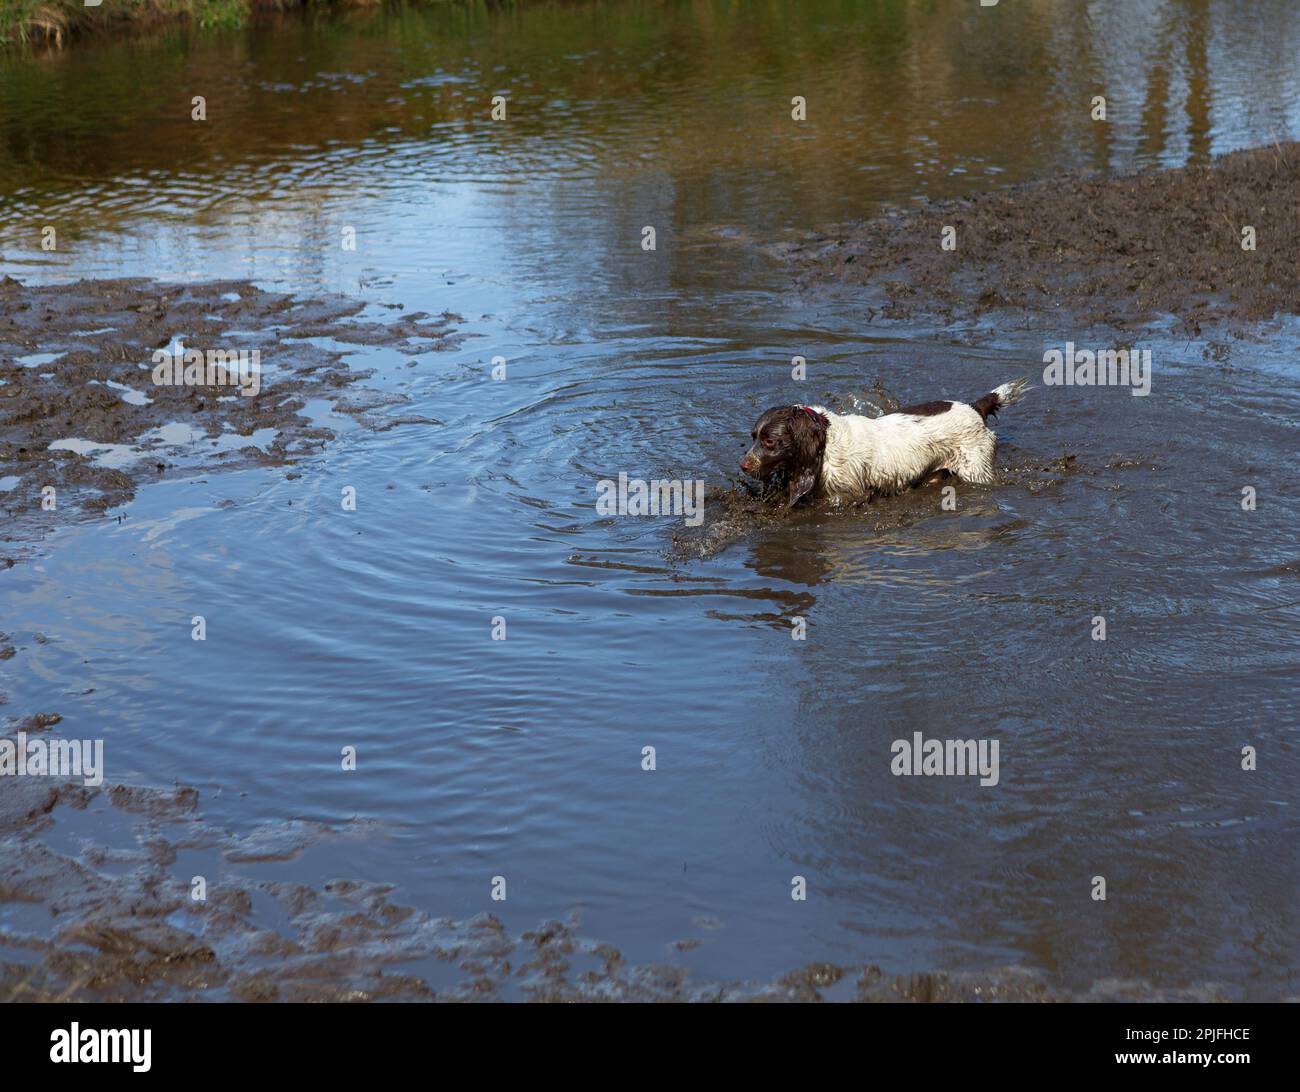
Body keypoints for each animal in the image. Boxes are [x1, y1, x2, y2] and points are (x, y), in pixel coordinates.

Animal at [738, 377, 1029, 504]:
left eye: (770, 441)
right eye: (753, 437)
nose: (743, 465)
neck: (827, 442)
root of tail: (974, 407)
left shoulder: (849, 494)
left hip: (975, 468)